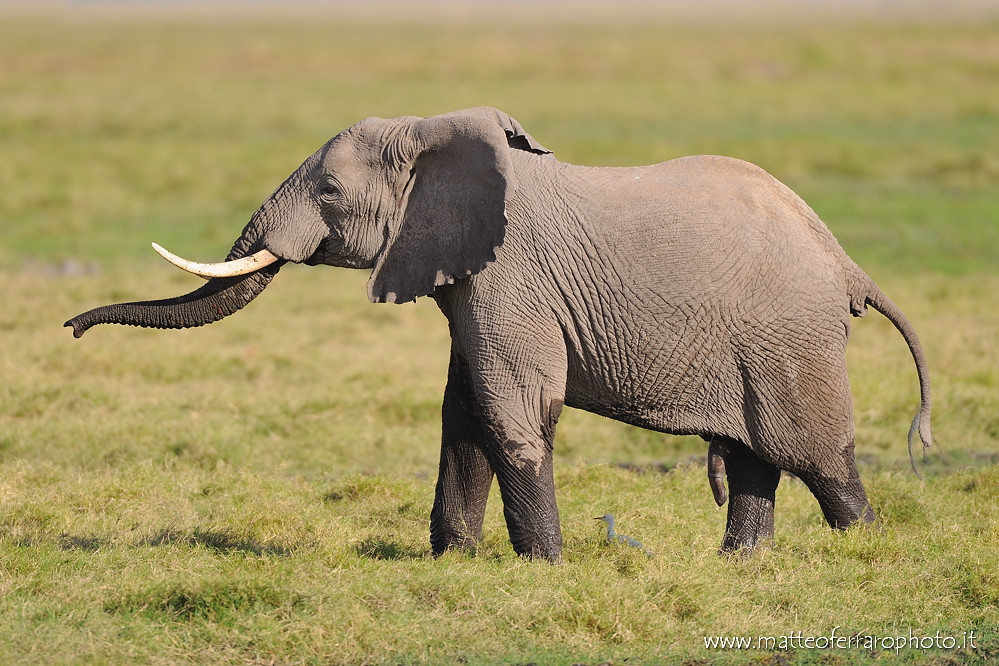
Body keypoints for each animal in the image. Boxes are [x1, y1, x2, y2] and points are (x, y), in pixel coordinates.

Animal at [66, 105, 932, 560]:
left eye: (330, 192)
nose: (72, 326)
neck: (428, 136)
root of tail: (846, 263)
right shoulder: (470, 278)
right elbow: (462, 414)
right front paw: (454, 561)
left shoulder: (510, 278)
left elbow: (508, 407)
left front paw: (542, 566)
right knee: (758, 457)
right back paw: (737, 565)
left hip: (790, 337)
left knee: (817, 455)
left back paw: (862, 552)